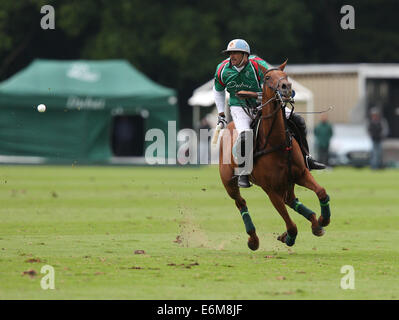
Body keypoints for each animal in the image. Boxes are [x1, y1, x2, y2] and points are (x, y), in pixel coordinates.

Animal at [219, 60, 332, 250]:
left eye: (285, 76)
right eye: (267, 77)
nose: (286, 88)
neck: (277, 143)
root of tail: (229, 126)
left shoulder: (301, 174)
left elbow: (322, 191)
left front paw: (323, 219)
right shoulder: (270, 189)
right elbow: (291, 225)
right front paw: (289, 237)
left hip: (288, 182)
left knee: (291, 199)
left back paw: (315, 221)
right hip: (229, 182)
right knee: (241, 202)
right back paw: (253, 239)